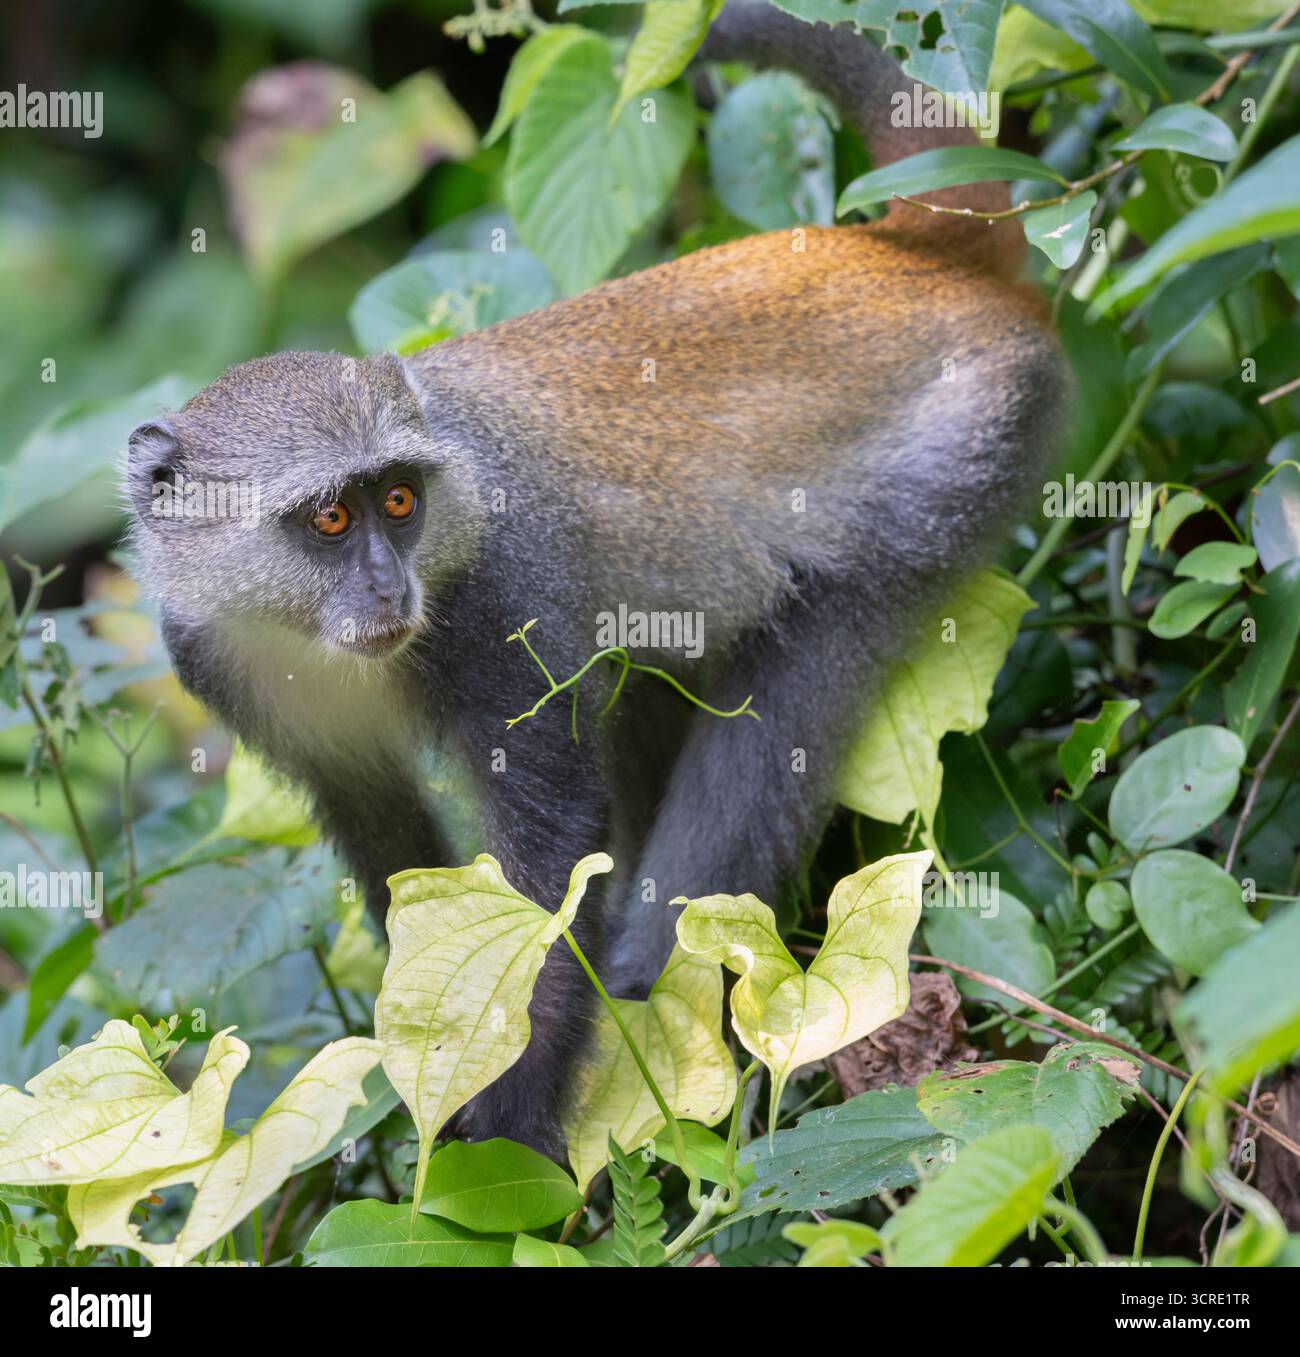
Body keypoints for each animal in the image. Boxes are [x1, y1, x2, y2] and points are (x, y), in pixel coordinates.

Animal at [126, 0, 1069, 1157]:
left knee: (801, 677)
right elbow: (389, 844)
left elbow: (550, 863)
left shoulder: (498, 602)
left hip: (969, 448)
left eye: (400, 501)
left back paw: (651, 984)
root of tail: (914, 255)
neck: (306, 631)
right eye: (332, 517)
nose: (391, 592)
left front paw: (509, 1133)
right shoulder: (220, 662)